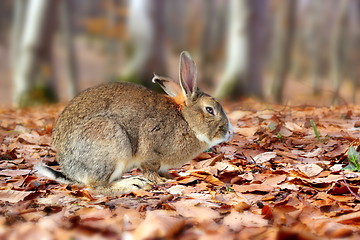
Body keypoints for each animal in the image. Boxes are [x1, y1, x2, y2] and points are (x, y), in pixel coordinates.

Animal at [35, 51, 233, 195]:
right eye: (210, 110)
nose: (229, 132)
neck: (186, 120)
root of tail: (71, 170)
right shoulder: (149, 149)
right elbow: (150, 169)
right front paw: (161, 181)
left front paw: (172, 176)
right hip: (112, 142)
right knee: (96, 186)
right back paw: (134, 183)